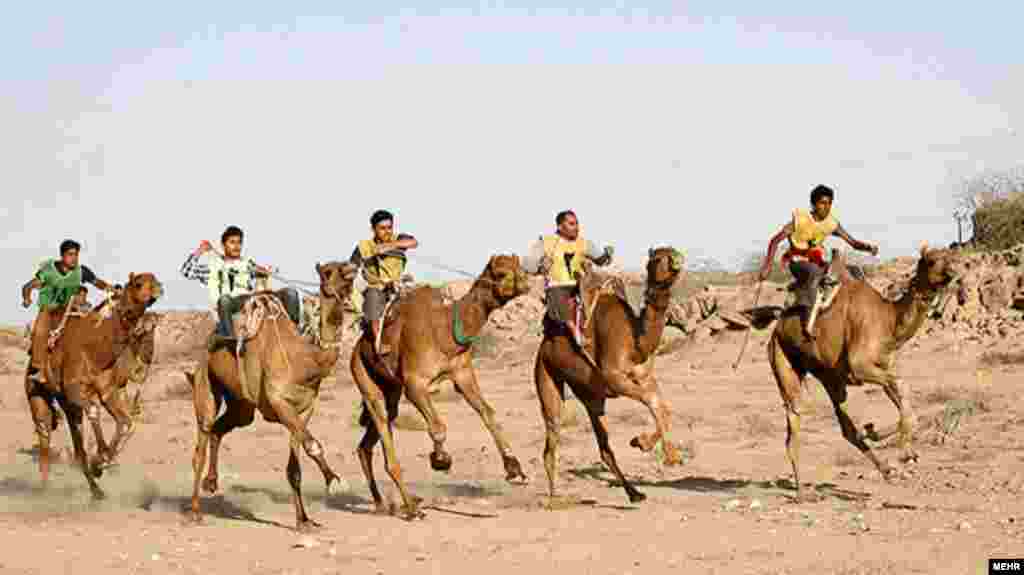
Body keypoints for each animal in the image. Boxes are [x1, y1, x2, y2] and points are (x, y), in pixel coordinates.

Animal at [25, 270, 160, 495]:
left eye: (156, 280)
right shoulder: (75, 390)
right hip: (38, 392)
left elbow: (126, 422)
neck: (96, 350)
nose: (158, 289)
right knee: (44, 432)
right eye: (138, 283)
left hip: (67, 404)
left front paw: (102, 461)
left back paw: (96, 491)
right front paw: (102, 456)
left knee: (78, 446)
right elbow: (96, 412)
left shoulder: (109, 391)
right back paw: (44, 489)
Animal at [186, 259, 358, 527]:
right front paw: (334, 482)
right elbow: (313, 445)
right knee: (201, 440)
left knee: (218, 429)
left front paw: (304, 520)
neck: (304, 361)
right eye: (329, 271)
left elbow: (294, 467)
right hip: (205, 380)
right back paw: (195, 511)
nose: (351, 267)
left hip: (242, 405)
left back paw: (211, 482)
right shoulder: (279, 403)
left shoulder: (304, 409)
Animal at [350, 252, 532, 517]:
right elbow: (437, 427)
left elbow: (486, 411)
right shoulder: (414, 383)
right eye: (501, 273)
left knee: (369, 441)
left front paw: (514, 468)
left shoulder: (462, 374)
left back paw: (382, 503)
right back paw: (411, 508)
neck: (445, 330)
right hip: (364, 376)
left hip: (391, 389)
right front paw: (440, 459)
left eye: (518, 267)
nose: (526, 282)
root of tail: (356, 350)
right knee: (382, 425)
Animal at [532, 245, 684, 501]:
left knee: (604, 446)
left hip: (592, 396)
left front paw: (645, 444)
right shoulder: (614, 378)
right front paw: (658, 449)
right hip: (545, 371)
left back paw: (634, 493)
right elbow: (653, 402)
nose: (677, 260)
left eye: (672, 251)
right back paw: (555, 499)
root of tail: (543, 347)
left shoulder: (644, 377)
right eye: (656, 258)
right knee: (552, 432)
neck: (637, 346)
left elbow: (663, 407)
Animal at [770, 241, 966, 497]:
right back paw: (802, 491)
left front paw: (884, 438)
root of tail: (777, 327)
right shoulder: (859, 367)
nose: (955, 272)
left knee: (846, 427)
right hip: (783, 359)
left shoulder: (884, 367)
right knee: (794, 418)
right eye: (932, 260)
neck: (889, 322)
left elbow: (902, 395)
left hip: (831, 378)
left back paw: (886, 469)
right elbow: (902, 387)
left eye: (951, 256)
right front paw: (903, 451)